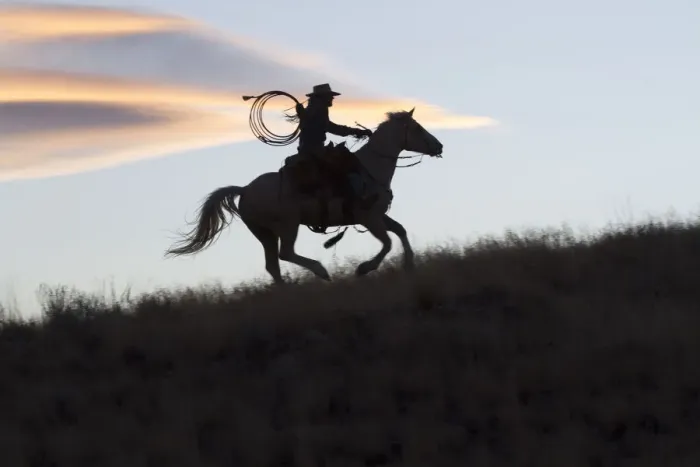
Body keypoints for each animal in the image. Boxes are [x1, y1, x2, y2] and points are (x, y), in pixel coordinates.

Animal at [165, 108, 444, 282]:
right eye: (417, 128)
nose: (439, 146)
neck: (370, 169)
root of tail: (244, 190)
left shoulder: (378, 216)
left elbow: (400, 231)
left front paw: (409, 265)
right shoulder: (369, 218)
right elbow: (387, 242)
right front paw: (364, 268)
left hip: (264, 234)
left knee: (273, 265)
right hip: (288, 225)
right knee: (285, 254)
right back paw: (321, 271)